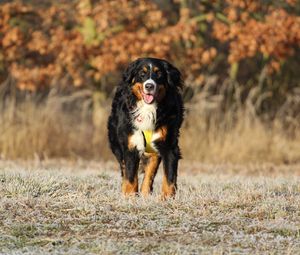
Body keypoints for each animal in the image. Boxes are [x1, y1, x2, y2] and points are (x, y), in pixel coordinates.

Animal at [106, 57, 184, 199]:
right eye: (142, 74)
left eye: (159, 74)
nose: (149, 86)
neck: (148, 109)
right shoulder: (131, 144)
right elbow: (131, 176)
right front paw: (129, 197)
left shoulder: (169, 145)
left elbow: (169, 178)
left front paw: (167, 199)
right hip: (117, 143)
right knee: (124, 168)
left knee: (150, 171)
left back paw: (145, 193)